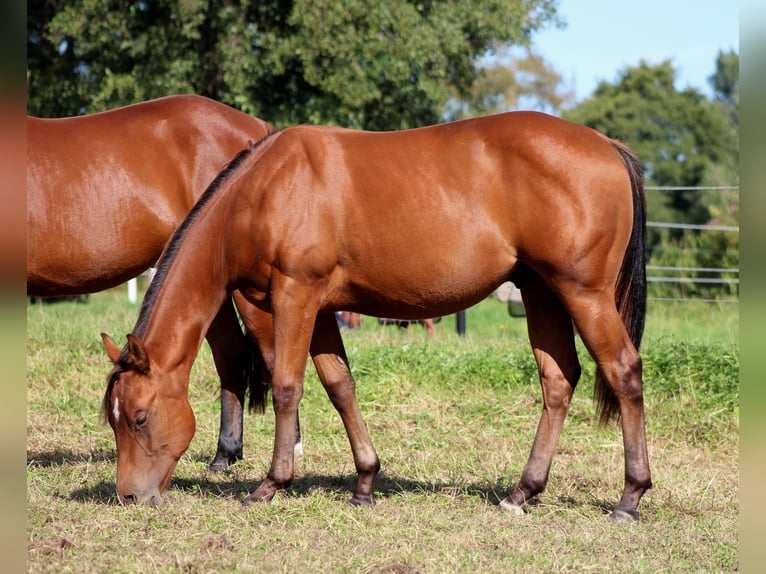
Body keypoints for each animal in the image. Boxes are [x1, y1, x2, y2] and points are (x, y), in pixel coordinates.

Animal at [101, 111, 650, 522]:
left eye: (139, 417)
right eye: (113, 419)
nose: (128, 496)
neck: (264, 190)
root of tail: (608, 146)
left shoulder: (294, 297)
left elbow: (286, 387)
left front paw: (272, 484)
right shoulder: (322, 309)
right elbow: (340, 386)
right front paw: (365, 482)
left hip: (583, 293)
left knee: (623, 371)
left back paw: (629, 497)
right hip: (541, 292)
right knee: (558, 381)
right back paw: (523, 492)